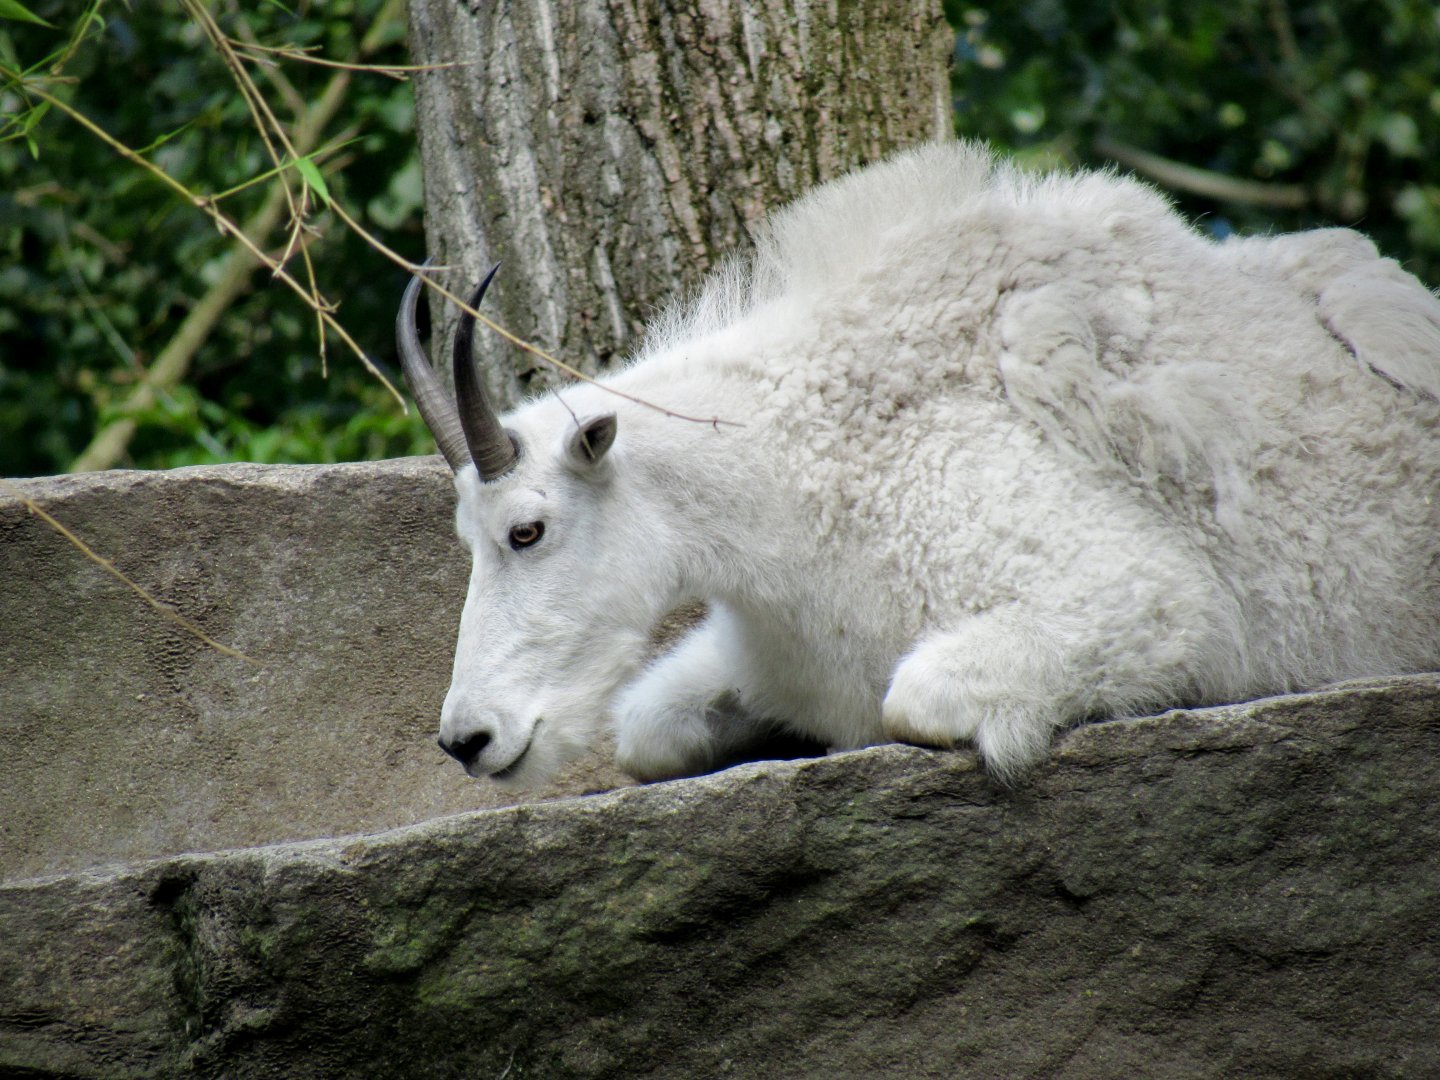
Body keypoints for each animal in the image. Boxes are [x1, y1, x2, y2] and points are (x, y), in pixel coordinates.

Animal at [398, 140, 1440, 786]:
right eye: (469, 541)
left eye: (527, 530)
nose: (467, 739)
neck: (805, 474)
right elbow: (647, 732)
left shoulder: (1140, 598)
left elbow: (922, 698)